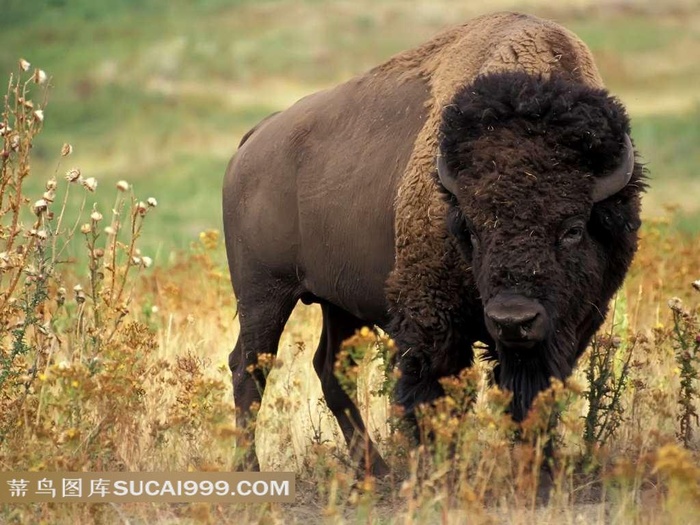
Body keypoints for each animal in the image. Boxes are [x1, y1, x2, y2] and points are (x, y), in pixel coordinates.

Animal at [223, 12, 644, 472]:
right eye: (472, 229)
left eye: (572, 229)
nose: (513, 319)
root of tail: (255, 138)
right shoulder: (432, 319)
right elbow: (433, 396)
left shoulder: (569, 326)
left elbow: (533, 397)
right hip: (263, 295)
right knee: (249, 369)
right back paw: (252, 469)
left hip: (338, 302)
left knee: (329, 369)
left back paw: (376, 471)